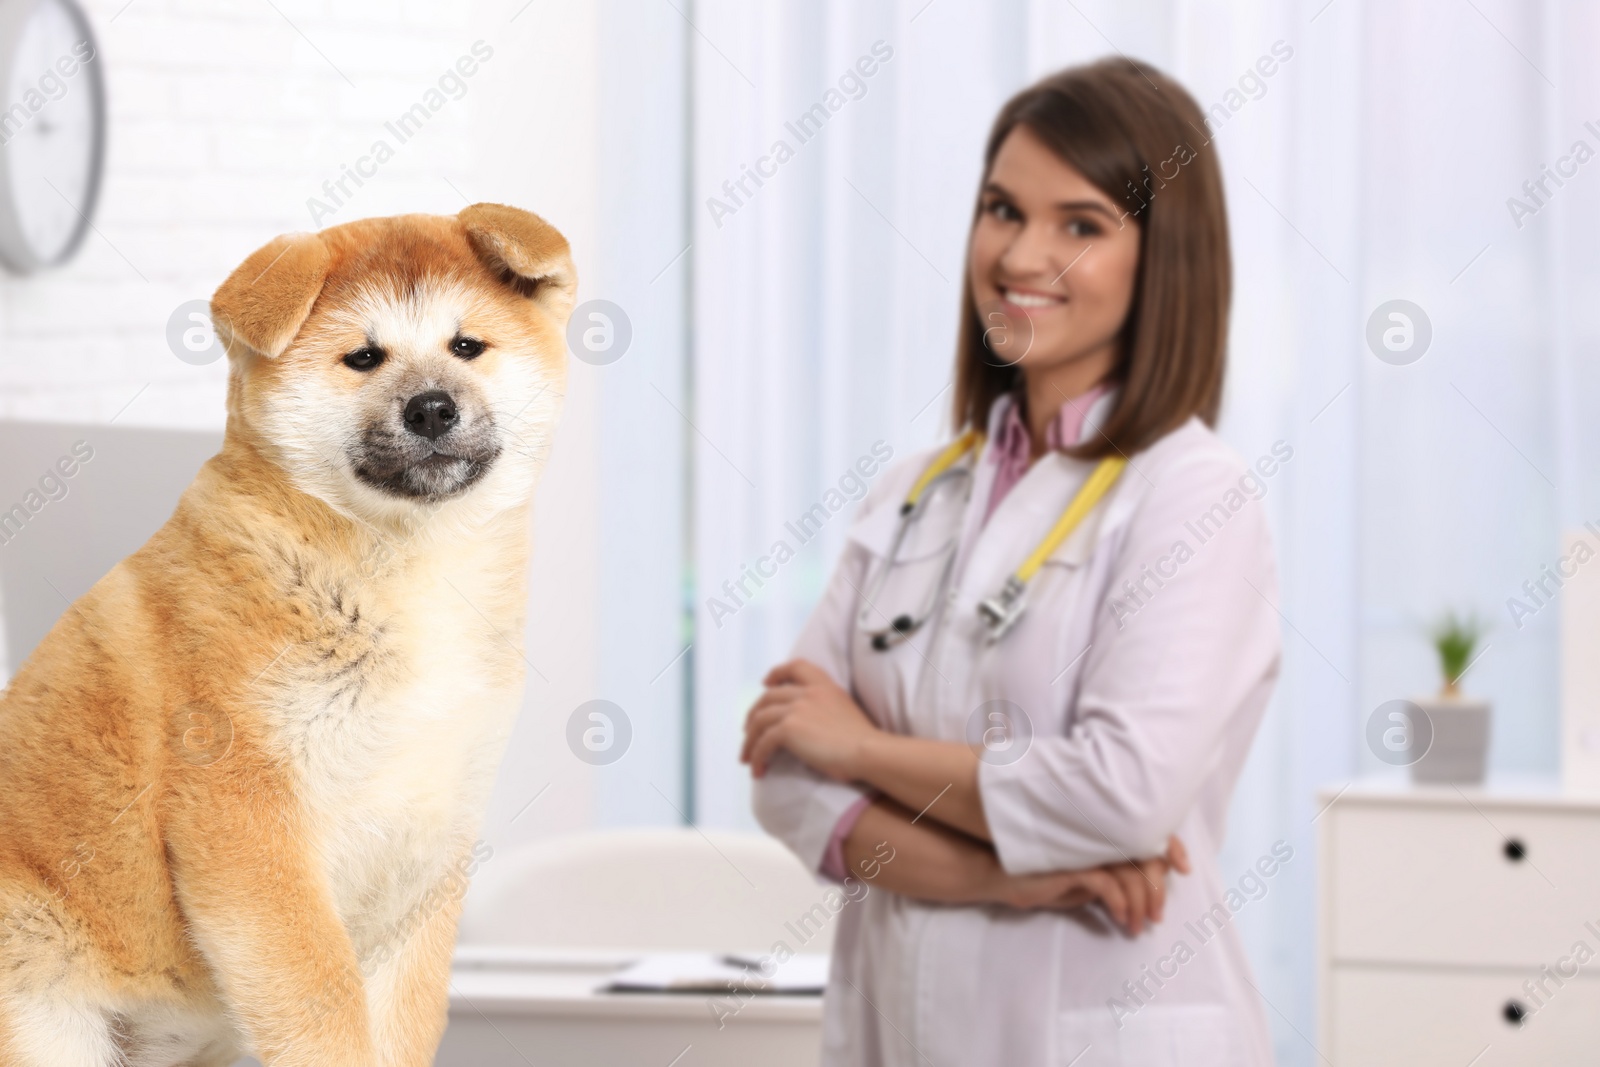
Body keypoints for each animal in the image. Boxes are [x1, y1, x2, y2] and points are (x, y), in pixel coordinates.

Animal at [0, 204, 576, 1062]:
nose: (432, 407)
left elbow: (404, 1017)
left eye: (466, 346)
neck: (404, 570)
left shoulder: (429, 849)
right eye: (363, 357)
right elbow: (321, 999)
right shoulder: (247, 816)